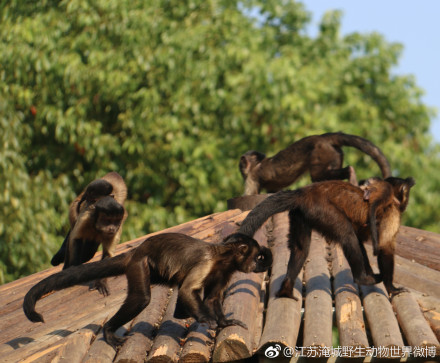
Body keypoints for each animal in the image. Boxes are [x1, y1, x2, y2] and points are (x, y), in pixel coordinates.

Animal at [24, 233, 274, 350]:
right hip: (139, 264)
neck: (223, 259)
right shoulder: (206, 262)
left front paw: (224, 323)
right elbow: (187, 291)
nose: (259, 265)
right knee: (142, 298)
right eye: (256, 257)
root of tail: (135, 251)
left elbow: (212, 298)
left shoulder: (226, 271)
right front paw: (207, 319)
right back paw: (108, 330)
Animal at [235, 178, 414, 300]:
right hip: (322, 210)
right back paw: (362, 279)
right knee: (347, 234)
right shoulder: (392, 212)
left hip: (301, 213)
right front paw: (392, 288)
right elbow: (384, 248)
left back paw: (286, 290)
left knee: (301, 249)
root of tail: (304, 192)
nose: (406, 201)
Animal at [239, 132, 390, 195]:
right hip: (335, 153)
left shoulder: (252, 177)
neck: (257, 164)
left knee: (317, 175)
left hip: (321, 152)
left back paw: (351, 172)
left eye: (241, 165)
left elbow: (250, 195)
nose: (241, 168)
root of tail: (323, 137)